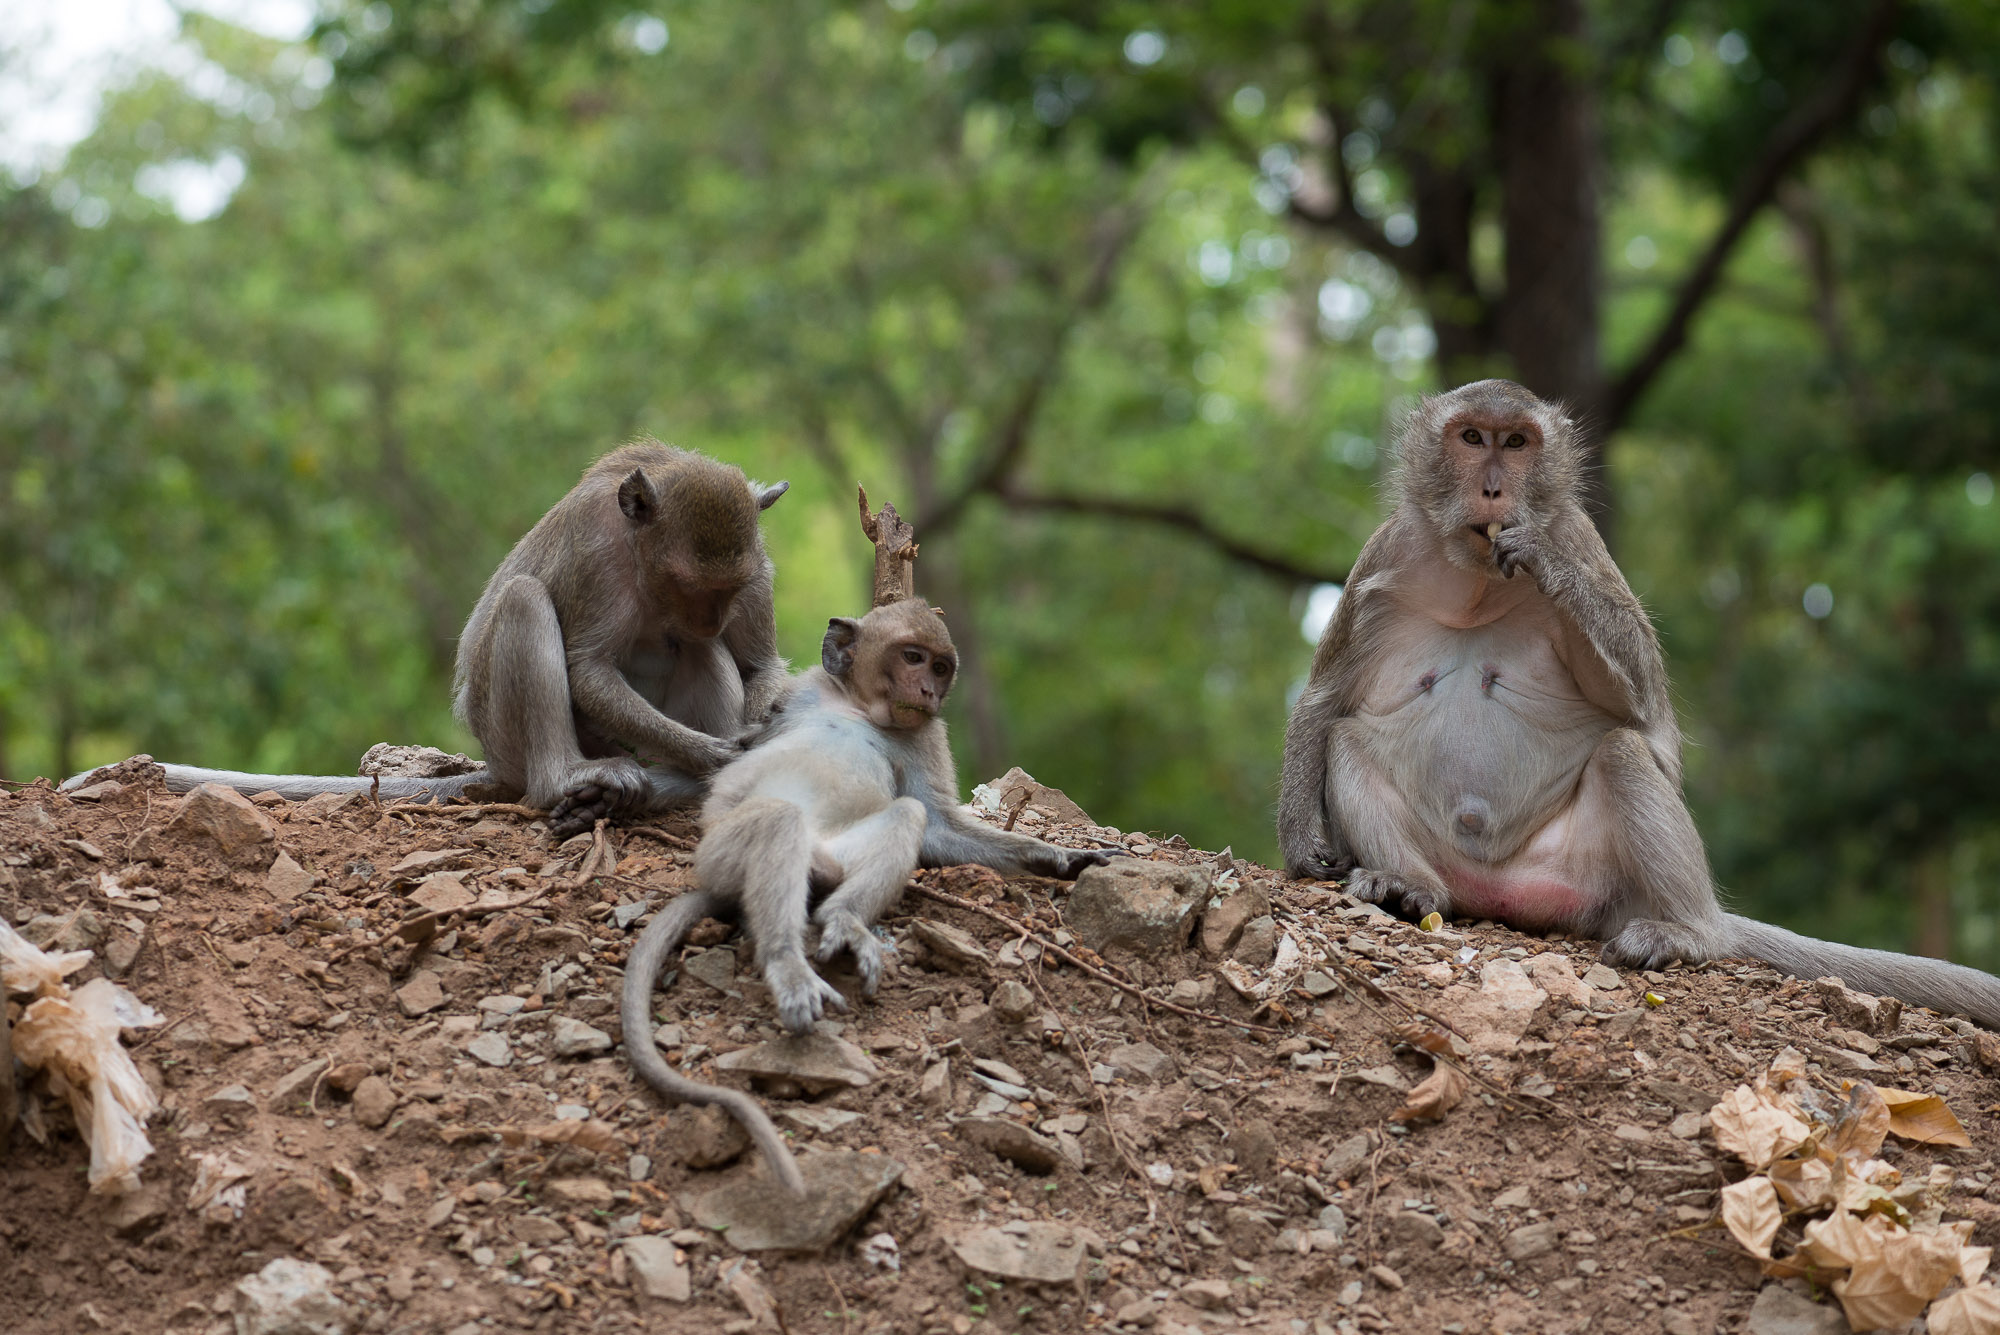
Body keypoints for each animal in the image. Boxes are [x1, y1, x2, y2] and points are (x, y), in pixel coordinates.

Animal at [65, 442, 789, 840]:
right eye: (686, 584)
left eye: (725, 590)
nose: (708, 618)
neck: (640, 557)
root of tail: (499, 763)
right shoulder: (595, 555)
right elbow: (587, 669)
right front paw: (719, 753)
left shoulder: (756, 567)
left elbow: (758, 665)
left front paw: (749, 740)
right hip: (506, 731)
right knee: (525, 601)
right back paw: (568, 780)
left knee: (701, 653)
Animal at [622, 598, 1110, 1194]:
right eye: (913, 657)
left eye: (941, 668)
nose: (927, 690)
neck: (857, 707)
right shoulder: (799, 694)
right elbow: (737, 753)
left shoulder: (927, 733)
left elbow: (936, 824)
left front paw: (1060, 859)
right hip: (719, 855)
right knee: (778, 821)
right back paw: (789, 962)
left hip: (831, 857)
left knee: (903, 816)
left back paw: (844, 917)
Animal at [1277, 379, 2000, 1030]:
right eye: (1473, 438)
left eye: (1517, 443)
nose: (1493, 489)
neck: (1478, 579)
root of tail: (1502, 894)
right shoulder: (1386, 553)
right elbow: (1325, 699)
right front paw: (1302, 844)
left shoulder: (1581, 537)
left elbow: (1644, 713)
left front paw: (1543, 562)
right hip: (1466, 869)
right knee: (1346, 740)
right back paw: (1409, 887)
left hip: (1593, 874)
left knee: (1622, 754)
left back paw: (1691, 932)